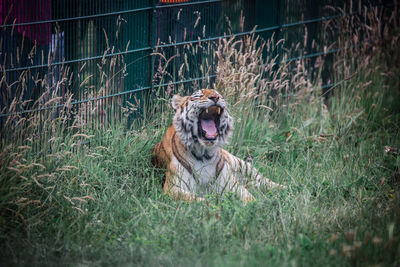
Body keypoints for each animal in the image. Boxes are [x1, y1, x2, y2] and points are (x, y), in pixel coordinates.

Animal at [152, 88, 286, 203]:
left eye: (219, 95)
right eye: (198, 95)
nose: (215, 97)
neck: (204, 153)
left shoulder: (232, 185)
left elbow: (249, 198)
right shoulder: (173, 189)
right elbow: (201, 201)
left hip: (242, 165)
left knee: (264, 180)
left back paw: (286, 188)